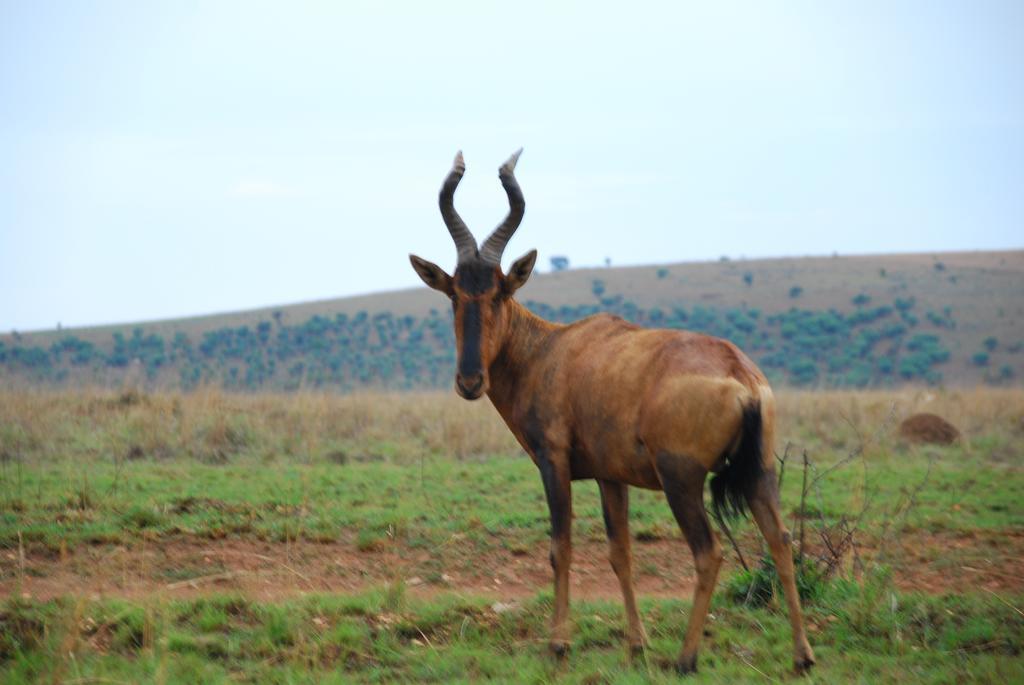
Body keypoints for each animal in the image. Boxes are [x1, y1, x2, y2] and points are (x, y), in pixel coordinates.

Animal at [407, 149, 815, 671]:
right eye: (454, 293)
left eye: (501, 291)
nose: (470, 381)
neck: (551, 350)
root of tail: (740, 374)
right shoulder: (610, 476)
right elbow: (620, 552)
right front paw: (636, 643)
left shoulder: (554, 461)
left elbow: (560, 547)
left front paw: (558, 644)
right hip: (761, 470)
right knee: (781, 541)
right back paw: (802, 656)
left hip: (681, 479)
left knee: (709, 552)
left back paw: (686, 658)